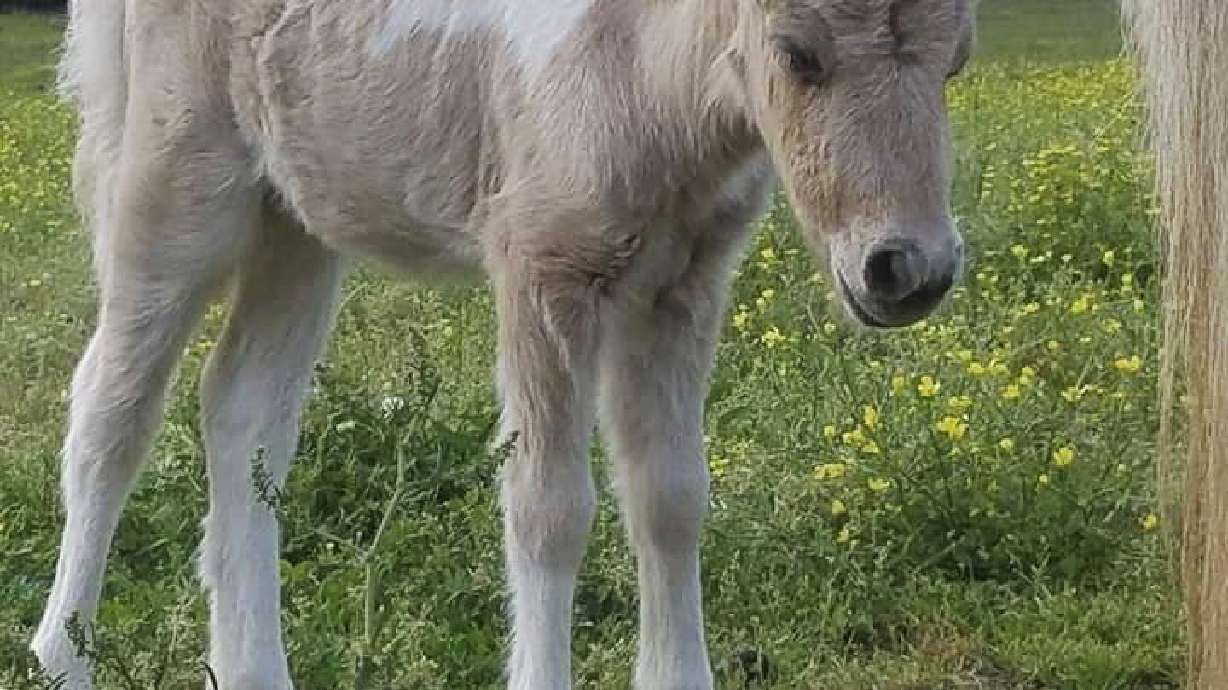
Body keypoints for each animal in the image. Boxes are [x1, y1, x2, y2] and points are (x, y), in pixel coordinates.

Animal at [32, 1, 973, 688]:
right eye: (796, 54)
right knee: (111, 414)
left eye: (956, 62)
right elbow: (548, 510)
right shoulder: (544, 271)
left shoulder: (683, 290)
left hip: (291, 220)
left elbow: (671, 499)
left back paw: (253, 669)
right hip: (180, 183)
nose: (906, 270)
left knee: (244, 415)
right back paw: (61, 659)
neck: (634, 65)